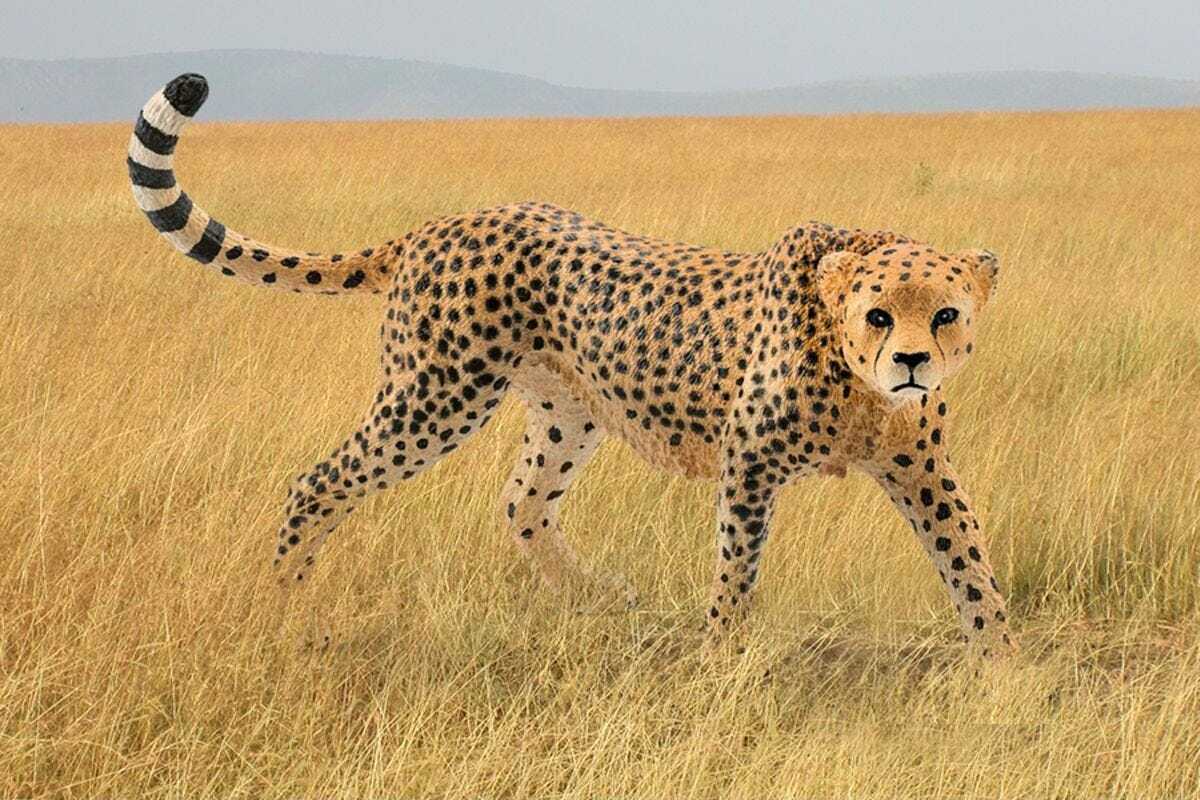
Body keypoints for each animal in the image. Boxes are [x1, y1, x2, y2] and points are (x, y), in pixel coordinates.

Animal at [127, 73, 1017, 659]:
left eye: (945, 314)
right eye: (878, 315)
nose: (912, 362)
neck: (857, 381)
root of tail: (445, 222)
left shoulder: (920, 466)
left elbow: (968, 559)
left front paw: (1004, 666)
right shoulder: (751, 463)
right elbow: (738, 567)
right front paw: (723, 657)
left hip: (566, 410)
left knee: (522, 502)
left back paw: (599, 597)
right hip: (435, 397)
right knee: (319, 480)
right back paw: (288, 602)